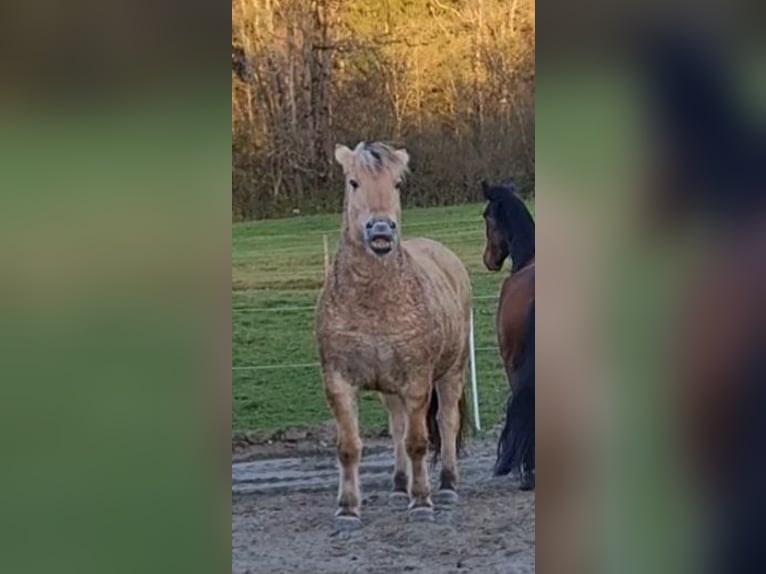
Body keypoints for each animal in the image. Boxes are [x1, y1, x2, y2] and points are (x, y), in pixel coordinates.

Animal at [316, 141, 472, 532]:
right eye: (353, 182)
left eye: (397, 183)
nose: (382, 229)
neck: (374, 302)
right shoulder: (339, 382)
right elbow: (349, 447)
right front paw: (348, 509)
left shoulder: (417, 382)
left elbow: (418, 442)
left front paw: (422, 503)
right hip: (390, 390)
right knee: (397, 427)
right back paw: (400, 486)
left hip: (452, 373)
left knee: (447, 423)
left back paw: (447, 486)